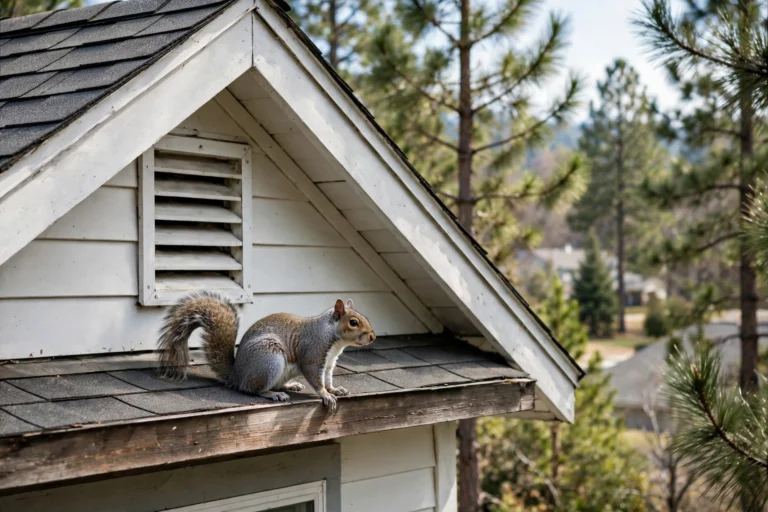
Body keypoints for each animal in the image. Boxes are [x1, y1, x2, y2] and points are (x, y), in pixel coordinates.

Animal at [157, 292, 376, 410]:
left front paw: (334, 389)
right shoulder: (313, 353)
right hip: (268, 360)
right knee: (251, 389)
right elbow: (316, 378)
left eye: (365, 317)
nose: (372, 336)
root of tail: (237, 375)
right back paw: (272, 394)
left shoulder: (329, 363)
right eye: (353, 322)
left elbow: (328, 378)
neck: (331, 336)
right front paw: (325, 395)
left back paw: (290, 385)